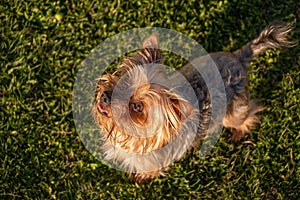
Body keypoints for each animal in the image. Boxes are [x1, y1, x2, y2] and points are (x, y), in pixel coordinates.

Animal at [93, 22, 296, 183]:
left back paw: (239, 132)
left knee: (250, 113)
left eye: (138, 107)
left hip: (234, 112)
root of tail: (238, 59)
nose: (105, 97)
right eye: (125, 80)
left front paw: (142, 179)